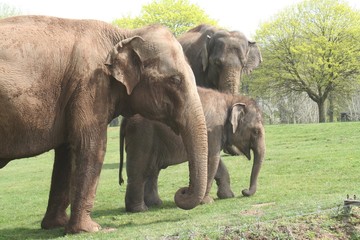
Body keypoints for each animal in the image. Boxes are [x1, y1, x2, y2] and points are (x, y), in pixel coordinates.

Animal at [0, 15, 208, 233]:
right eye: (175, 80)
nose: (182, 191)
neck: (123, 34)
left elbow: (66, 152)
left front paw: (57, 225)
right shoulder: (90, 84)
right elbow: (91, 145)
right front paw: (91, 230)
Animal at [119, 86, 266, 212]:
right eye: (256, 131)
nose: (244, 191)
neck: (230, 99)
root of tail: (125, 119)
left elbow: (216, 162)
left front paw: (228, 196)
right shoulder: (212, 130)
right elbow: (211, 161)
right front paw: (207, 201)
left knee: (153, 170)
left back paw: (155, 204)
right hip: (142, 136)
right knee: (140, 170)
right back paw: (139, 209)